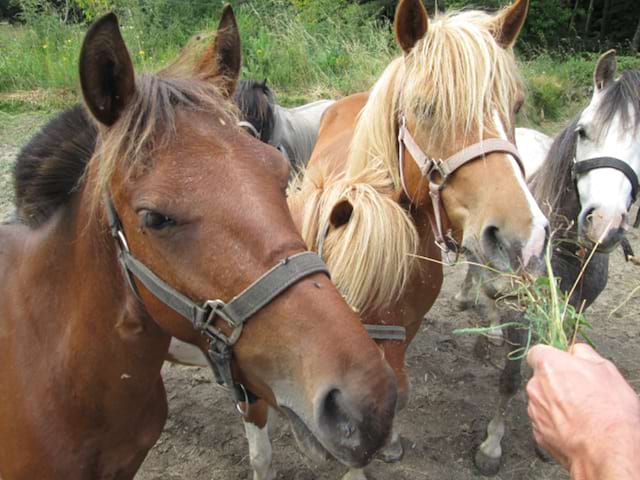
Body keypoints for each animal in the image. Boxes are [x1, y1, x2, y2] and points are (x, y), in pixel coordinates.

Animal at [240, 0, 552, 480]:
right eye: (425, 107)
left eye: (515, 105)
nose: (524, 240)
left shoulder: (405, 327)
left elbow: (395, 392)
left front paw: (389, 444)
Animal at [452, 48, 640, 472]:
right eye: (584, 131)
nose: (604, 224)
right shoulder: (522, 310)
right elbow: (509, 377)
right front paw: (491, 446)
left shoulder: (576, 308)